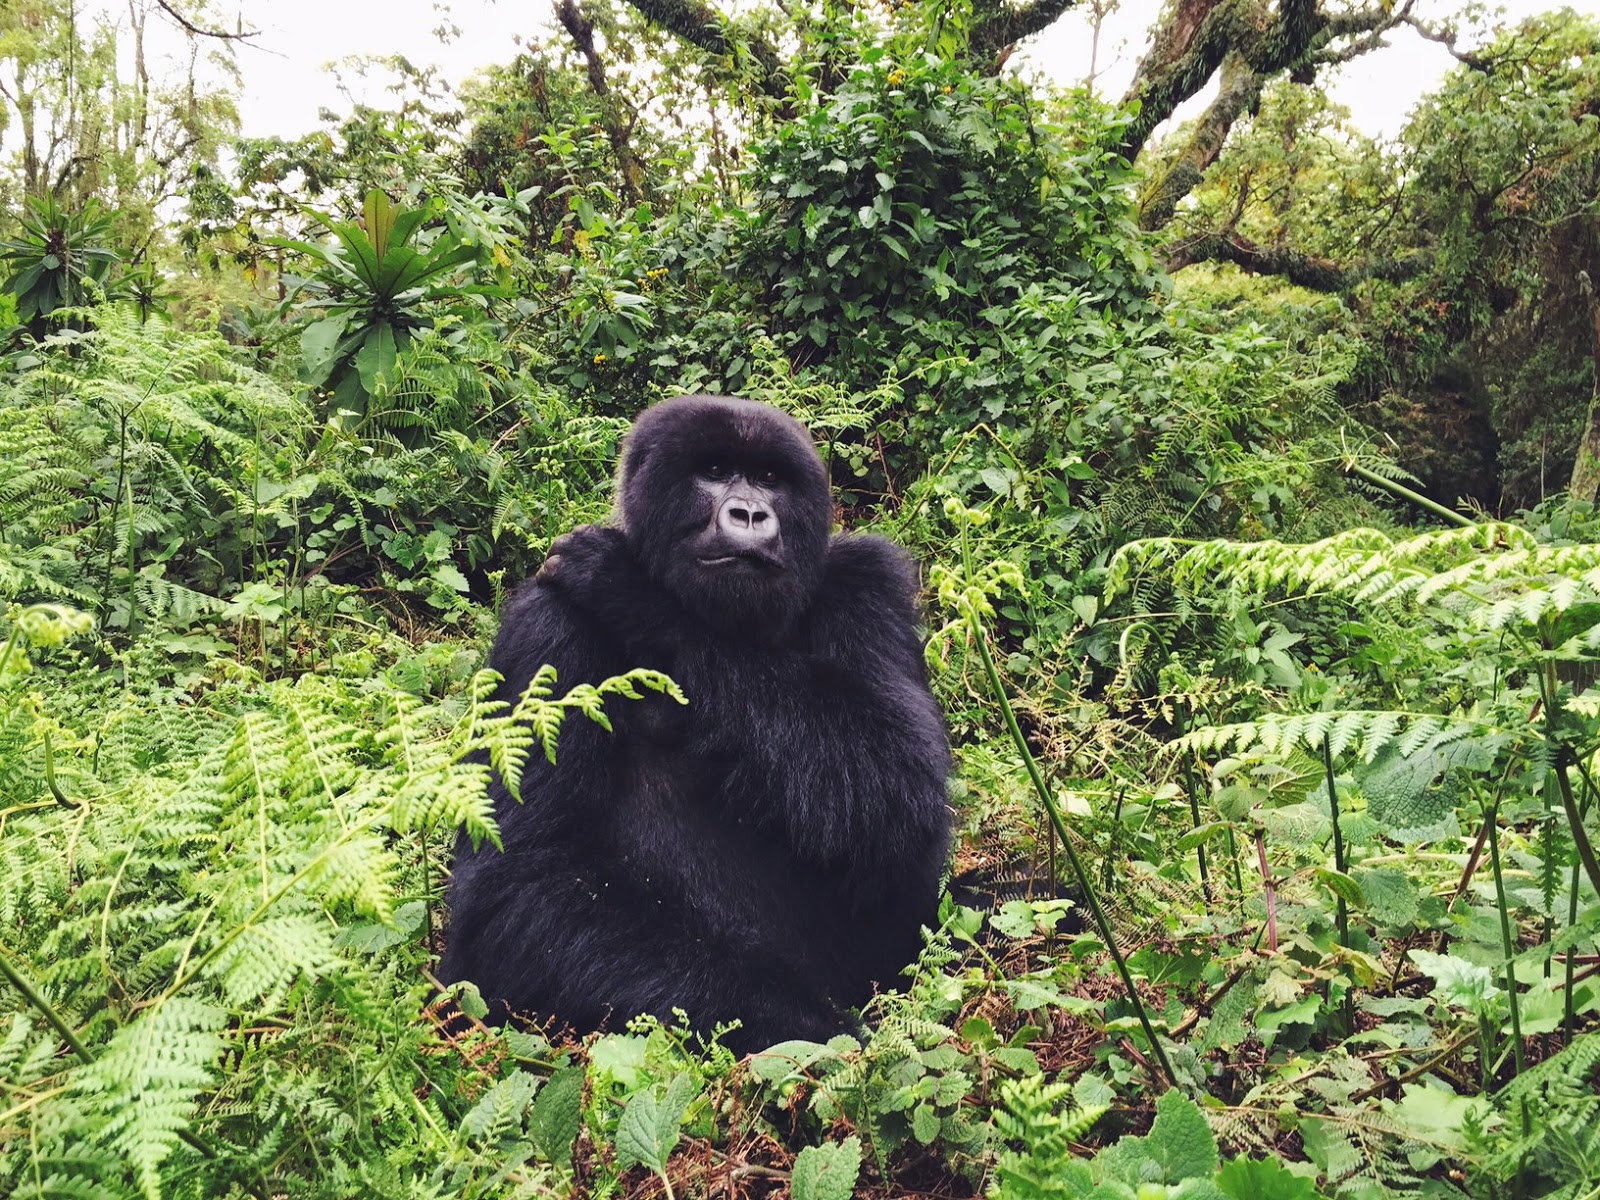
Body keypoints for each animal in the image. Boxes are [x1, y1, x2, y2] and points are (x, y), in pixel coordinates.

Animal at [441, 395, 947, 1049]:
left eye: (768, 479)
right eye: (713, 472)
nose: (750, 513)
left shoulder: (868, 579)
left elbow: (902, 788)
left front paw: (636, 595)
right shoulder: (545, 623)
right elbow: (515, 887)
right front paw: (800, 1027)